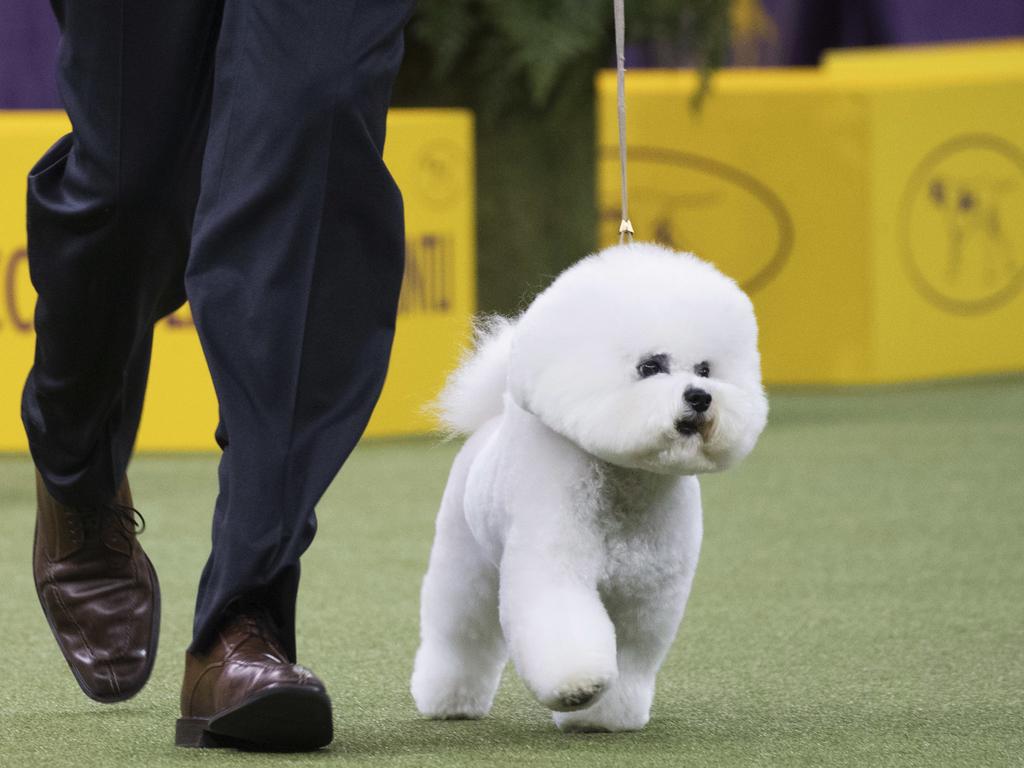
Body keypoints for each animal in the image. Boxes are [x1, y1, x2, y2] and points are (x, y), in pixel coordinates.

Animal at [407, 244, 770, 733]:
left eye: (706, 369)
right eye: (650, 366)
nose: (700, 396)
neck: (628, 486)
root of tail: (490, 422)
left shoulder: (648, 597)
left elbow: (632, 658)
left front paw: (605, 716)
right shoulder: (557, 568)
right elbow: (566, 632)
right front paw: (577, 687)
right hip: (466, 561)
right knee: (460, 634)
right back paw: (450, 702)